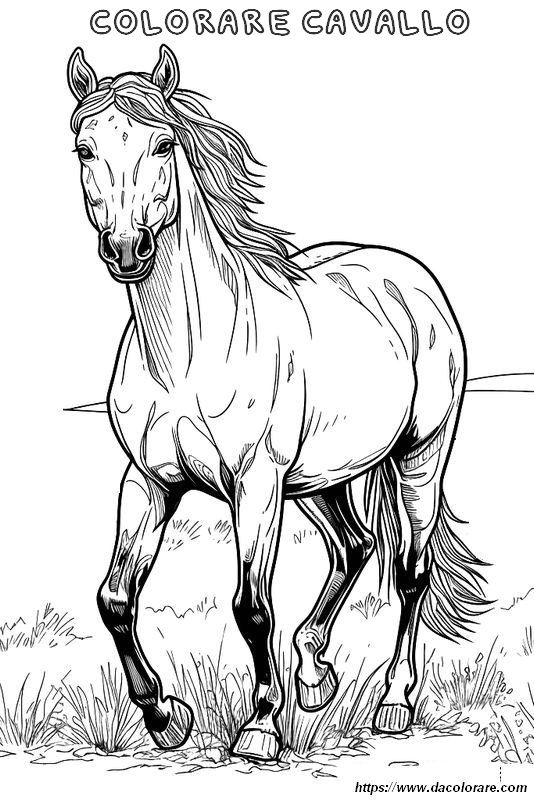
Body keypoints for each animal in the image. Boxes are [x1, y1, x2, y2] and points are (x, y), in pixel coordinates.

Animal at [67, 45, 487, 762]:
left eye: (163, 143)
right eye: (84, 149)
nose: (127, 250)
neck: (188, 352)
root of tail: (411, 279)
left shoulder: (256, 483)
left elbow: (252, 607)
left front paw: (261, 726)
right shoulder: (150, 481)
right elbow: (116, 598)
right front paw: (165, 716)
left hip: (417, 457)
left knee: (410, 568)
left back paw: (393, 701)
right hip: (321, 476)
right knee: (354, 546)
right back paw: (315, 674)